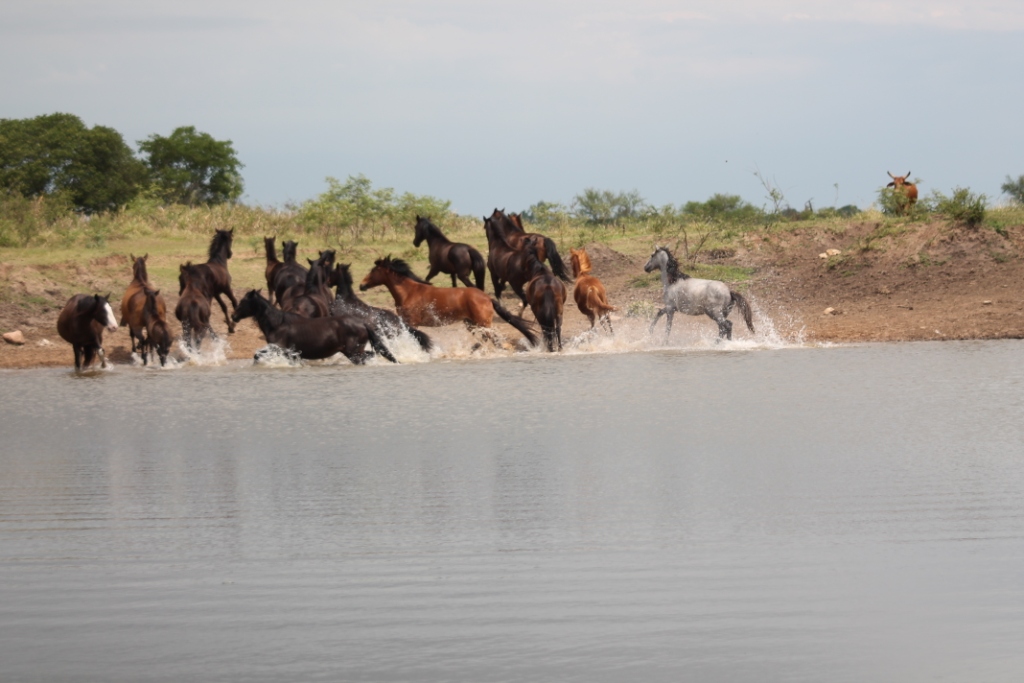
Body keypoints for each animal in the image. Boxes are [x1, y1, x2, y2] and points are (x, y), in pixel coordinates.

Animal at [232, 286, 395, 362]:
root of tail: (363, 324)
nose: (233, 316)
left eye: (243, 301)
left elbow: (257, 356)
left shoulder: (281, 349)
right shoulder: (292, 354)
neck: (277, 325)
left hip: (354, 353)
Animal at [358, 254, 536, 348]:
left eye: (374, 270)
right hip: (471, 324)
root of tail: (487, 297)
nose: (361, 285)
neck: (409, 292)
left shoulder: (411, 323)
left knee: (495, 340)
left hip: (483, 324)